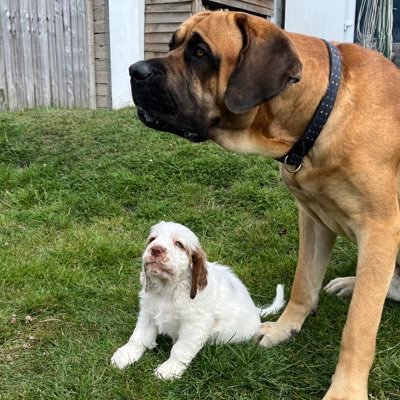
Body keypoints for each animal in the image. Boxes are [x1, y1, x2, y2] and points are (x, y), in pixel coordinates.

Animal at [111, 220, 282, 380]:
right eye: (152, 239)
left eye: (178, 244)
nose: (155, 249)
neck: (169, 289)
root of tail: (255, 310)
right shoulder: (147, 314)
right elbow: (138, 336)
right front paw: (125, 355)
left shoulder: (194, 326)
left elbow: (180, 349)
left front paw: (169, 369)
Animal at [129, 10, 400, 398]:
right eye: (173, 44)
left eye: (200, 52)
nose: (134, 71)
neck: (321, 113)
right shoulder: (313, 220)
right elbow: (304, 283)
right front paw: (284, 329)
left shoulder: (380, 230)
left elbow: (360, 324)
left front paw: (346, 389)